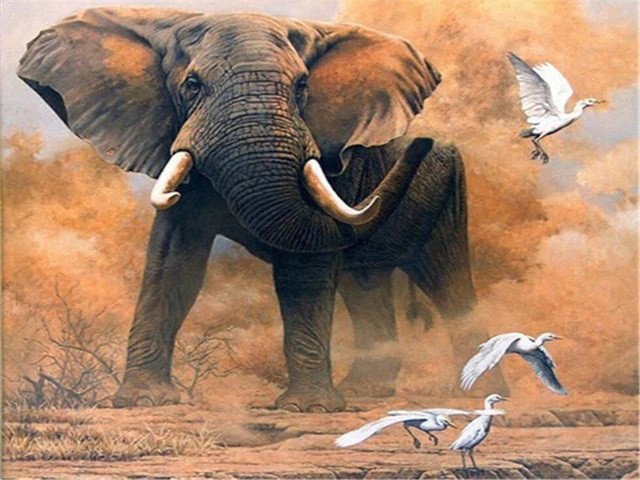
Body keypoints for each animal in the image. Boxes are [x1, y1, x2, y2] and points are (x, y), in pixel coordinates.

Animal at [18, 7, 508, 412]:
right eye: (192, 85)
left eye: (302, 86)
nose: (420, 143)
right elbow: (171, 262)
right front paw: (141, 402)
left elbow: (304, 271)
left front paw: (309, 409)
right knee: (365, 282)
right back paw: (367, 392)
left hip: (447, 190)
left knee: (448, 282)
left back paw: (480, 395)